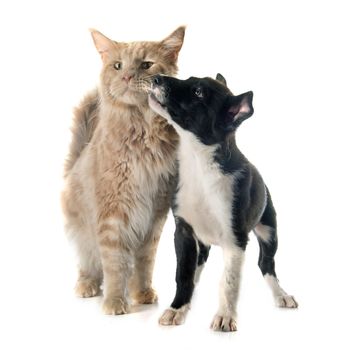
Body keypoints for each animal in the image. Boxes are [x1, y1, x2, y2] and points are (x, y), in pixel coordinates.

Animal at [61, 27, 186, 314]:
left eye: (146, 65)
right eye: (118, 66)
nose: (128, 76)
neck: (142, 132)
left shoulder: (154, 215)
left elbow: (144, 264)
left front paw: (142, 294)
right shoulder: (113, 214)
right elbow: (115, 264)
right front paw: (116, 302)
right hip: (83, 232)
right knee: (89, 263)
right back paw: (87, 286)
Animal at [148, 73, 298, 330]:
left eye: (198, 92)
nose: (156, 78)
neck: (199, 163)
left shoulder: (235, 239)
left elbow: (229, 281)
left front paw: (225, 316)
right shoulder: (184, 231)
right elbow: (183, 274)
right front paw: (177, 308)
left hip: (269, 231)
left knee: (267, 264)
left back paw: (281, 295)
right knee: (200, 263)